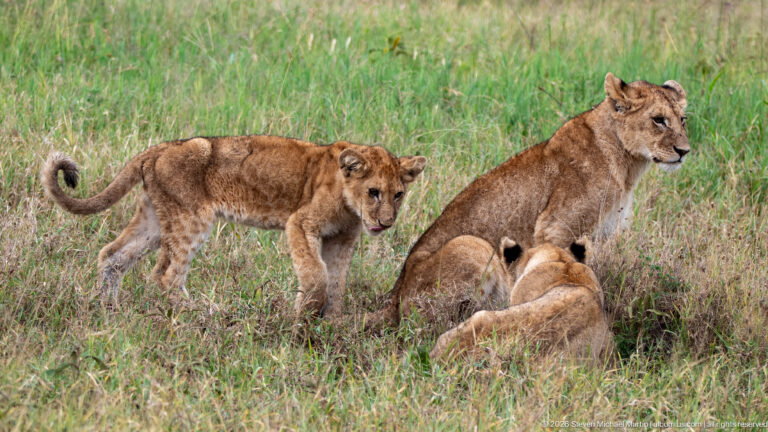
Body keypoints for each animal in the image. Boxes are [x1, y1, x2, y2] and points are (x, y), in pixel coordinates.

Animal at [42, 135, 426, 316]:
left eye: (398, 195)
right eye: (373, 192)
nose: (385, 223)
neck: (349, 205)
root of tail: (160, 148)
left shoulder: (341, 240)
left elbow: (337, 282)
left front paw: (330, 321)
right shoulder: (300, 223)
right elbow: (315, 274)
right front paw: (303, 313)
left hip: (155, 219)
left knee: (113, 255)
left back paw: (108, 310)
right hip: (191, 219)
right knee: (166, 276)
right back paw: (201, 312)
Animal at [370, 72, 689, 328]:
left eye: (682, 120)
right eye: (658, 120)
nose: (684, 151)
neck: (628, 164)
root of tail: (393, 297)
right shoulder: (555, 227)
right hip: (471, 244)